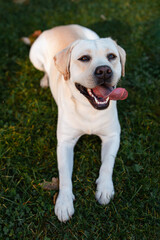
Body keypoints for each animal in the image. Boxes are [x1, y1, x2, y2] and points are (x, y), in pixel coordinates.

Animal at [29, 24, 127, 221]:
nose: (104, 71)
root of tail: (60, 26)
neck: (89, 109)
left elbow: (108, 164)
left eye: (111, 56)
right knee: (43, 69)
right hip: (34, 57)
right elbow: (64, 175)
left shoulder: (112, 136)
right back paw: (45, 80)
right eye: (84, 58)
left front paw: (105, 188)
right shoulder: (65, 143)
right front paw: (64, 202)